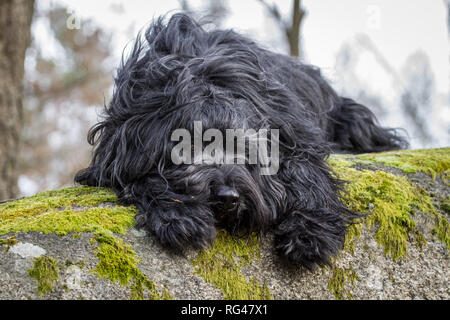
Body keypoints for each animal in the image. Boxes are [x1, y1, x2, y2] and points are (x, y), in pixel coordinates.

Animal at [74, 15, 408, 270]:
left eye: (243, 149)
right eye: (189, 146)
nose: (227, 197)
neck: (205, 82)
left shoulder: (293, 134)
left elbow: (308, 176)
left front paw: (310, 234)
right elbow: (146, 180)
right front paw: (179, 215)